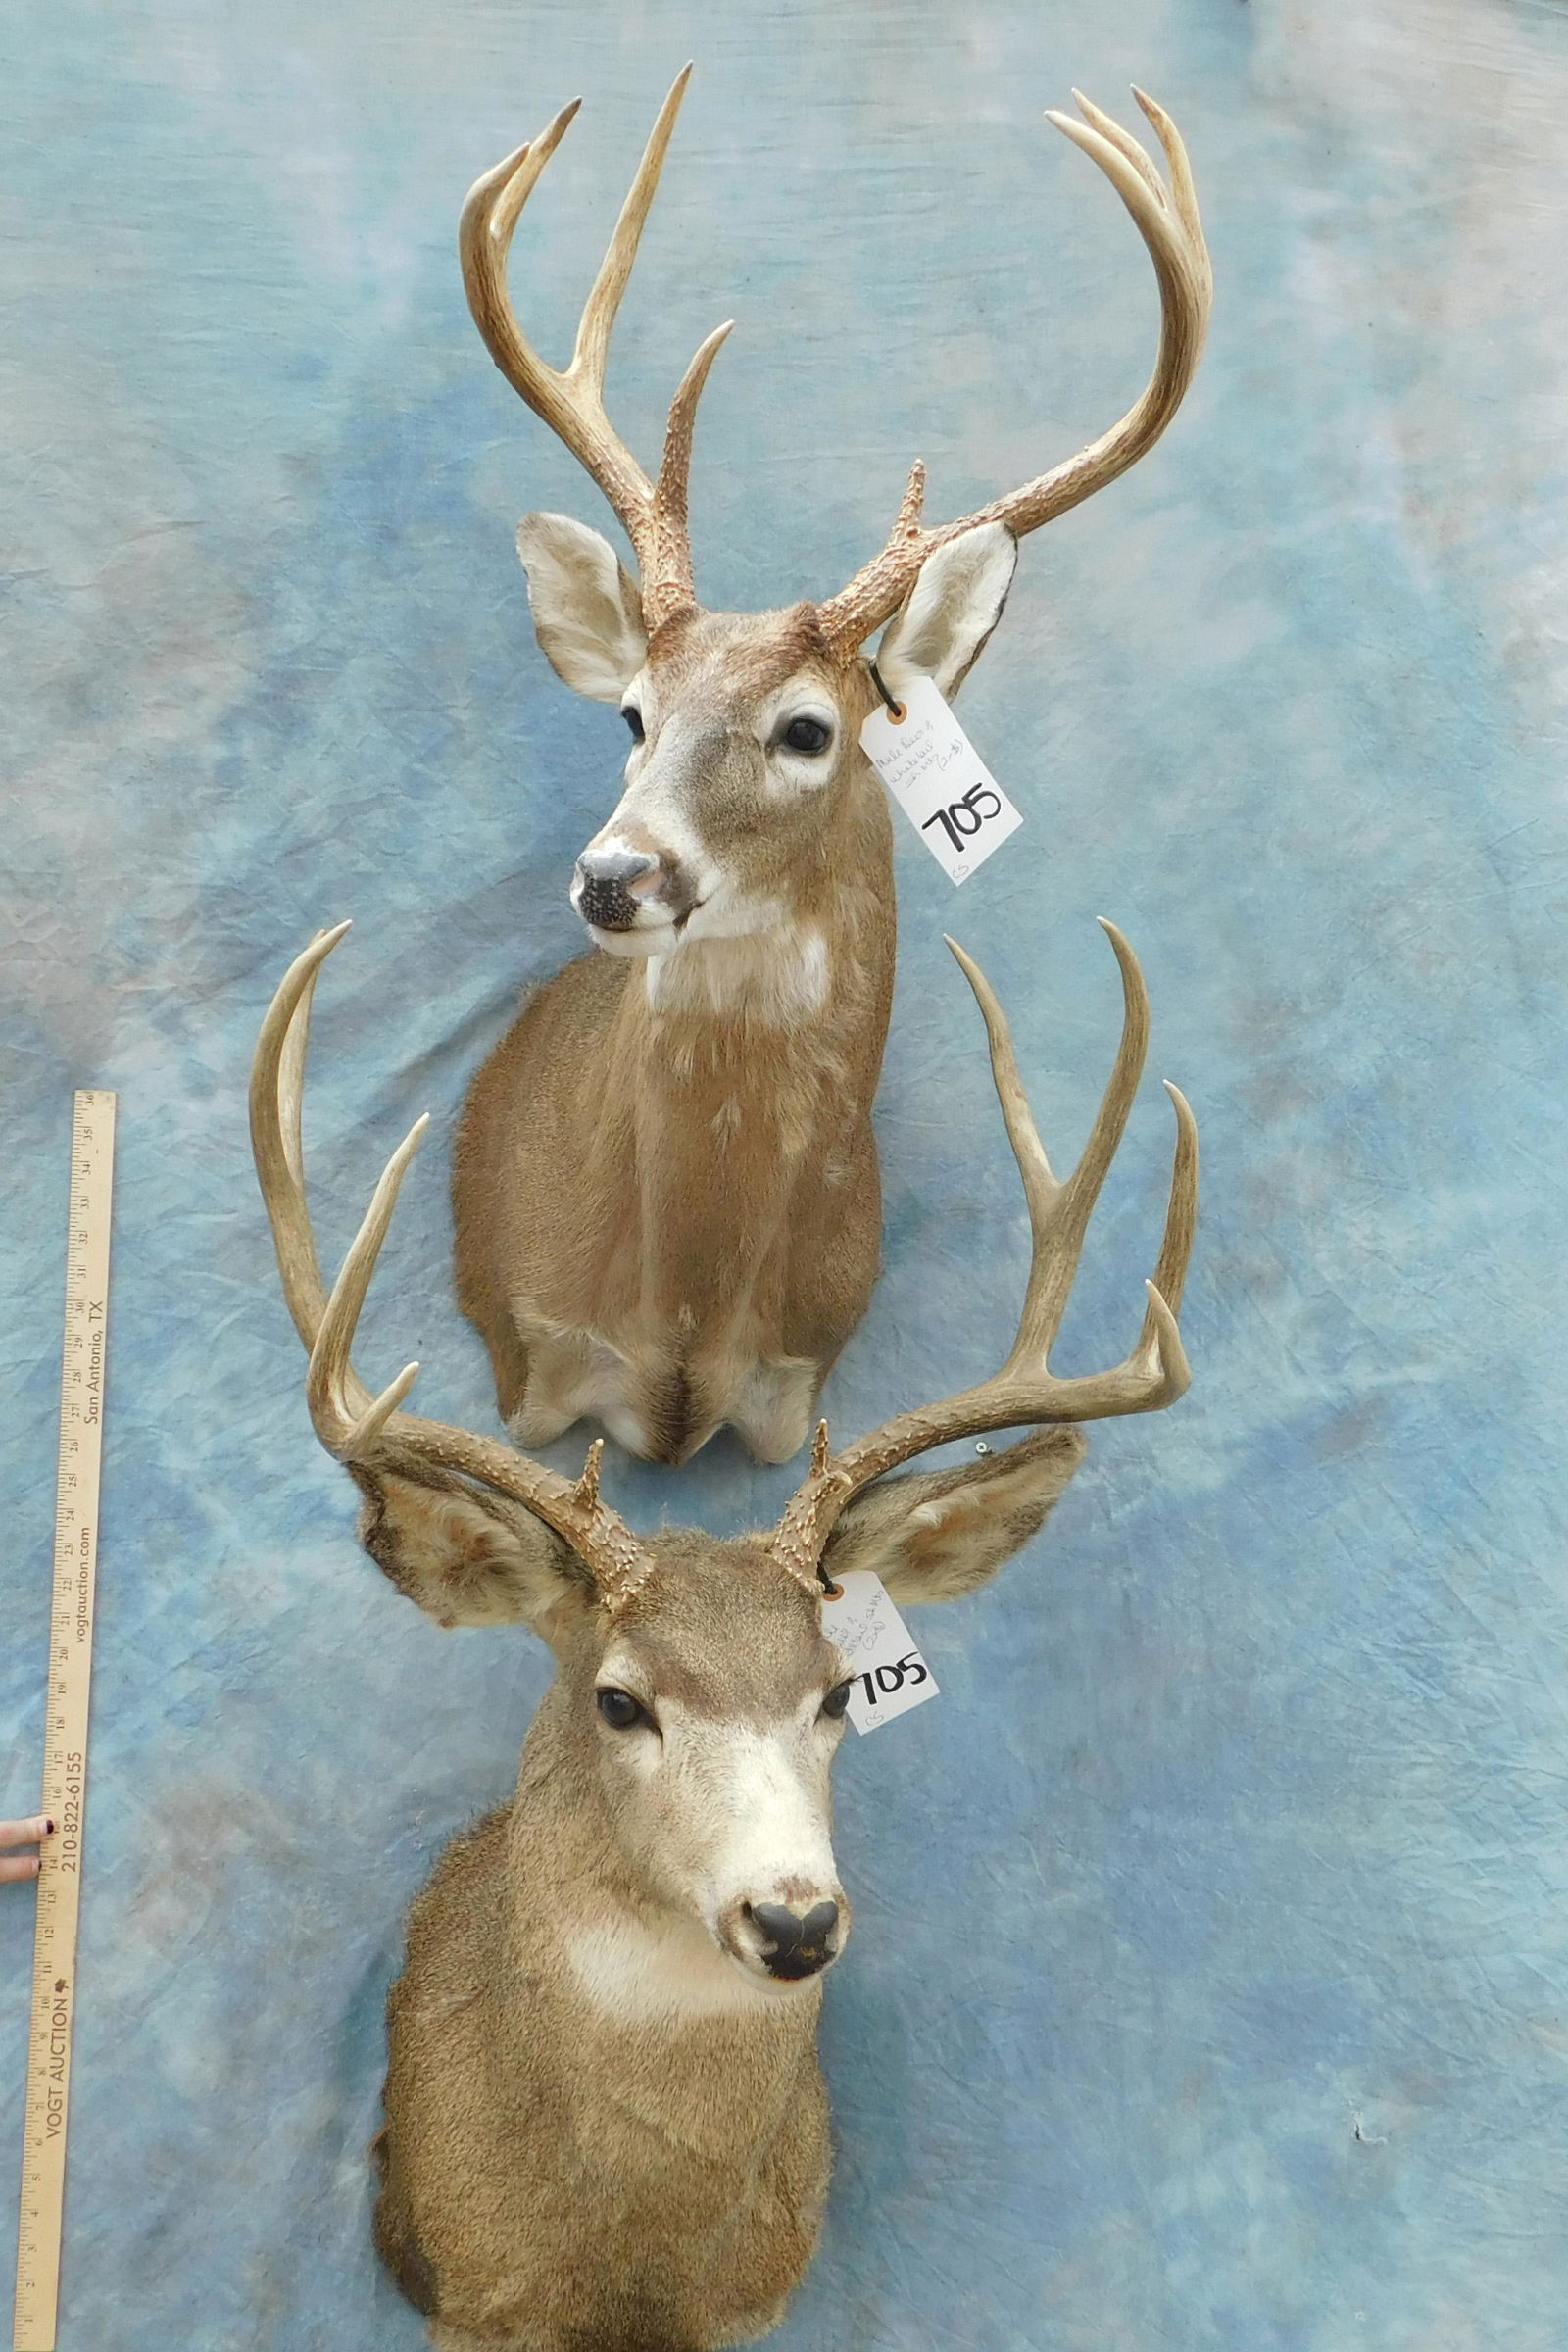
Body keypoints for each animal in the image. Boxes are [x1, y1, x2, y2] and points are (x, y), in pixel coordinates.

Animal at [249, 916, 1197, 2352]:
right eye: (620, 1699)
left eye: (838, 1692)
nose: (794, 1921)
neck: (624, 2269)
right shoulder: (469, 2295)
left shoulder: (755, 2296)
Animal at [450, 71, 1212, 1467]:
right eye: (631, 715)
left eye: (807, 729)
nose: (614, 875)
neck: (682, 1330)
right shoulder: (525, 1362)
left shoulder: (796, 1385)